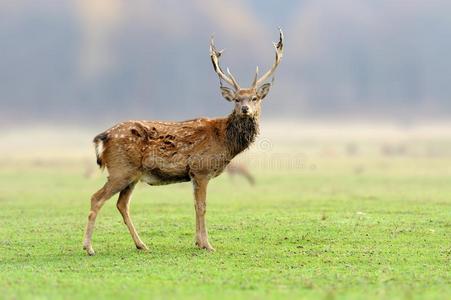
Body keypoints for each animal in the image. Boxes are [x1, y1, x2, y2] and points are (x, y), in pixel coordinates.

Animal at [83, 28, 284, 255]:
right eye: (236, 99)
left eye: (255, 98)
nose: (245, 109)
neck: (224, 140)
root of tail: (103, 137)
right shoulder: (201, 169)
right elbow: (202, 206)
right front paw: (207, 244)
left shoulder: (194, 175)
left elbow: (195, 205)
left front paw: (198, 242)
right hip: (120, 169)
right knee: (96, 198)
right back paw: (89, 247)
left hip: (132, 174)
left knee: (122, 204)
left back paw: (141, 244)